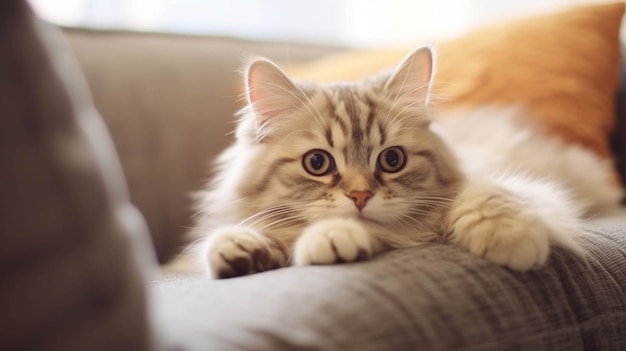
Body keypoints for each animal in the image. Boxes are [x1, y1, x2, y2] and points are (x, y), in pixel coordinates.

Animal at [178, 46, 620, 280]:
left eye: (392, 159)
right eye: (317, 163)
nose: (360, 196)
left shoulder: (505, 182)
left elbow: (488, 196)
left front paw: (511, 240)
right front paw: (240, 249)